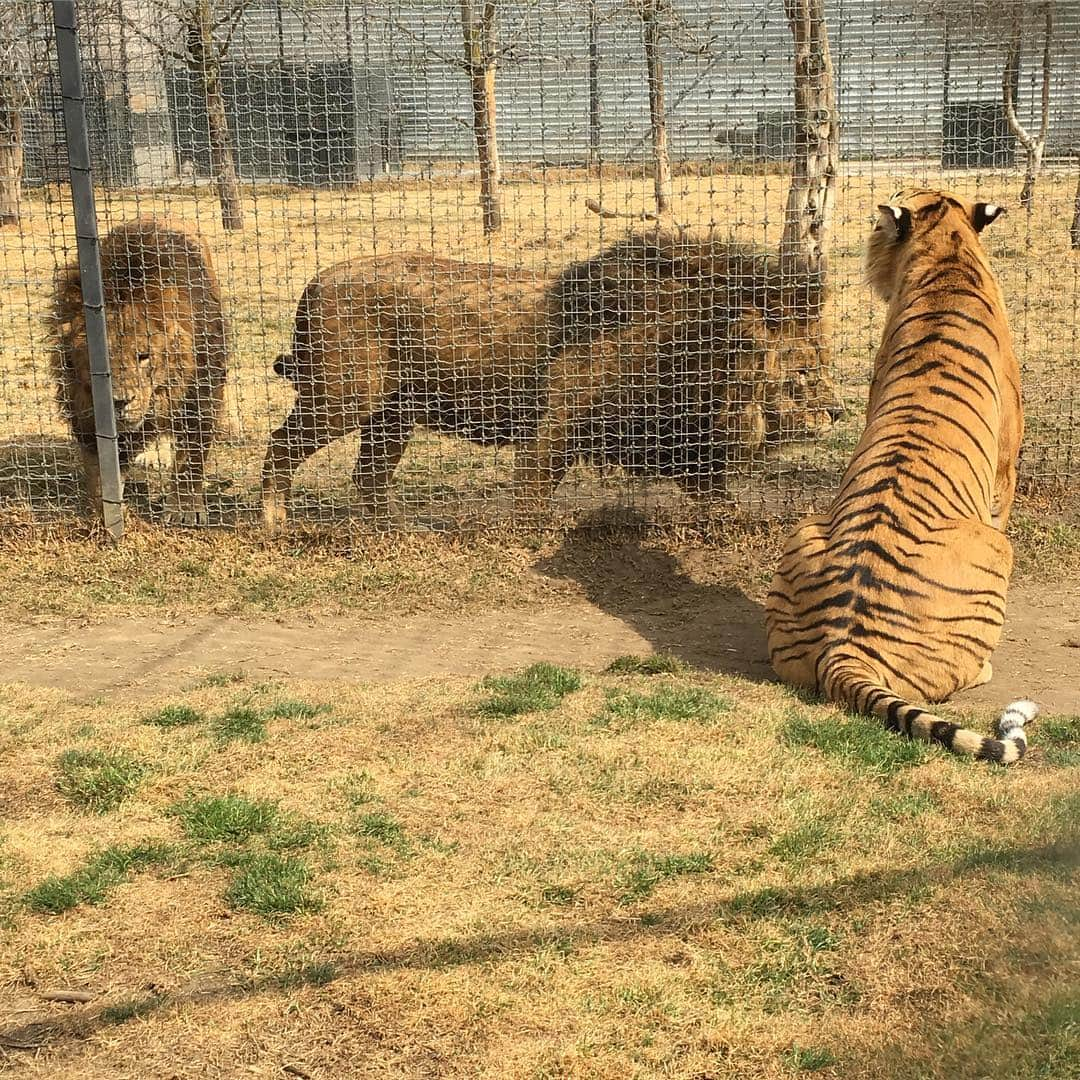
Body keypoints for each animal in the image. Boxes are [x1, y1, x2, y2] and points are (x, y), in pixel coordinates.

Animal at [53, 217, 226, 524]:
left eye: (143, 356)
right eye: (98, 361)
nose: (119, 402)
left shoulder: (201, 393)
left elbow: (191, 456)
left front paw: (184, 509)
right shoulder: (83, 405)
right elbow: (101, 467)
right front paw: (103, 512)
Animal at [263, 238, 842, 529]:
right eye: (805, 372)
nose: (838, 413)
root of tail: (314, 281)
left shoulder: (679, 441)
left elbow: (719, 498)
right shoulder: (556, 425)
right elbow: (533, 495)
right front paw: (531, 539)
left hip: (392, 416)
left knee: (368, 478)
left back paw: (388, 531)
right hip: (339, 399)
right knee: (279, 446)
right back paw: (275, 524)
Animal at [764, 190, 1032, 764]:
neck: (948, 251)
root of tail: (844, 651)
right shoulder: (1006, 469)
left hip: (802, 530)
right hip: (997, 550)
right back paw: (986, 668)